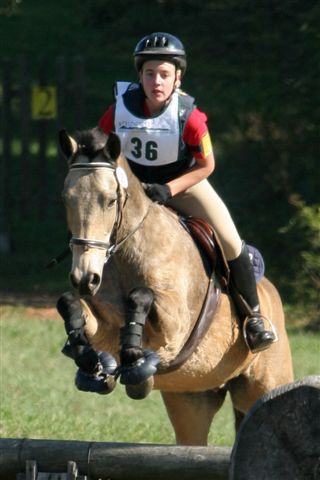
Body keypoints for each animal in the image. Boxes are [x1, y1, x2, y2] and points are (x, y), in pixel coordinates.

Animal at [57, 127, 292, 446]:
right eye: (66, 199)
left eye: (109, 201)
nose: (85, 278)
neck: (126, 254)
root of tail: (270, 293)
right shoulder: (103, 325)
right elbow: (69, 304)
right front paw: (88, 360)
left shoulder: (175, 325)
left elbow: (141, 297)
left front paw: (135, 362)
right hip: (191, 400)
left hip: (265, 385)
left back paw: (258, 328)